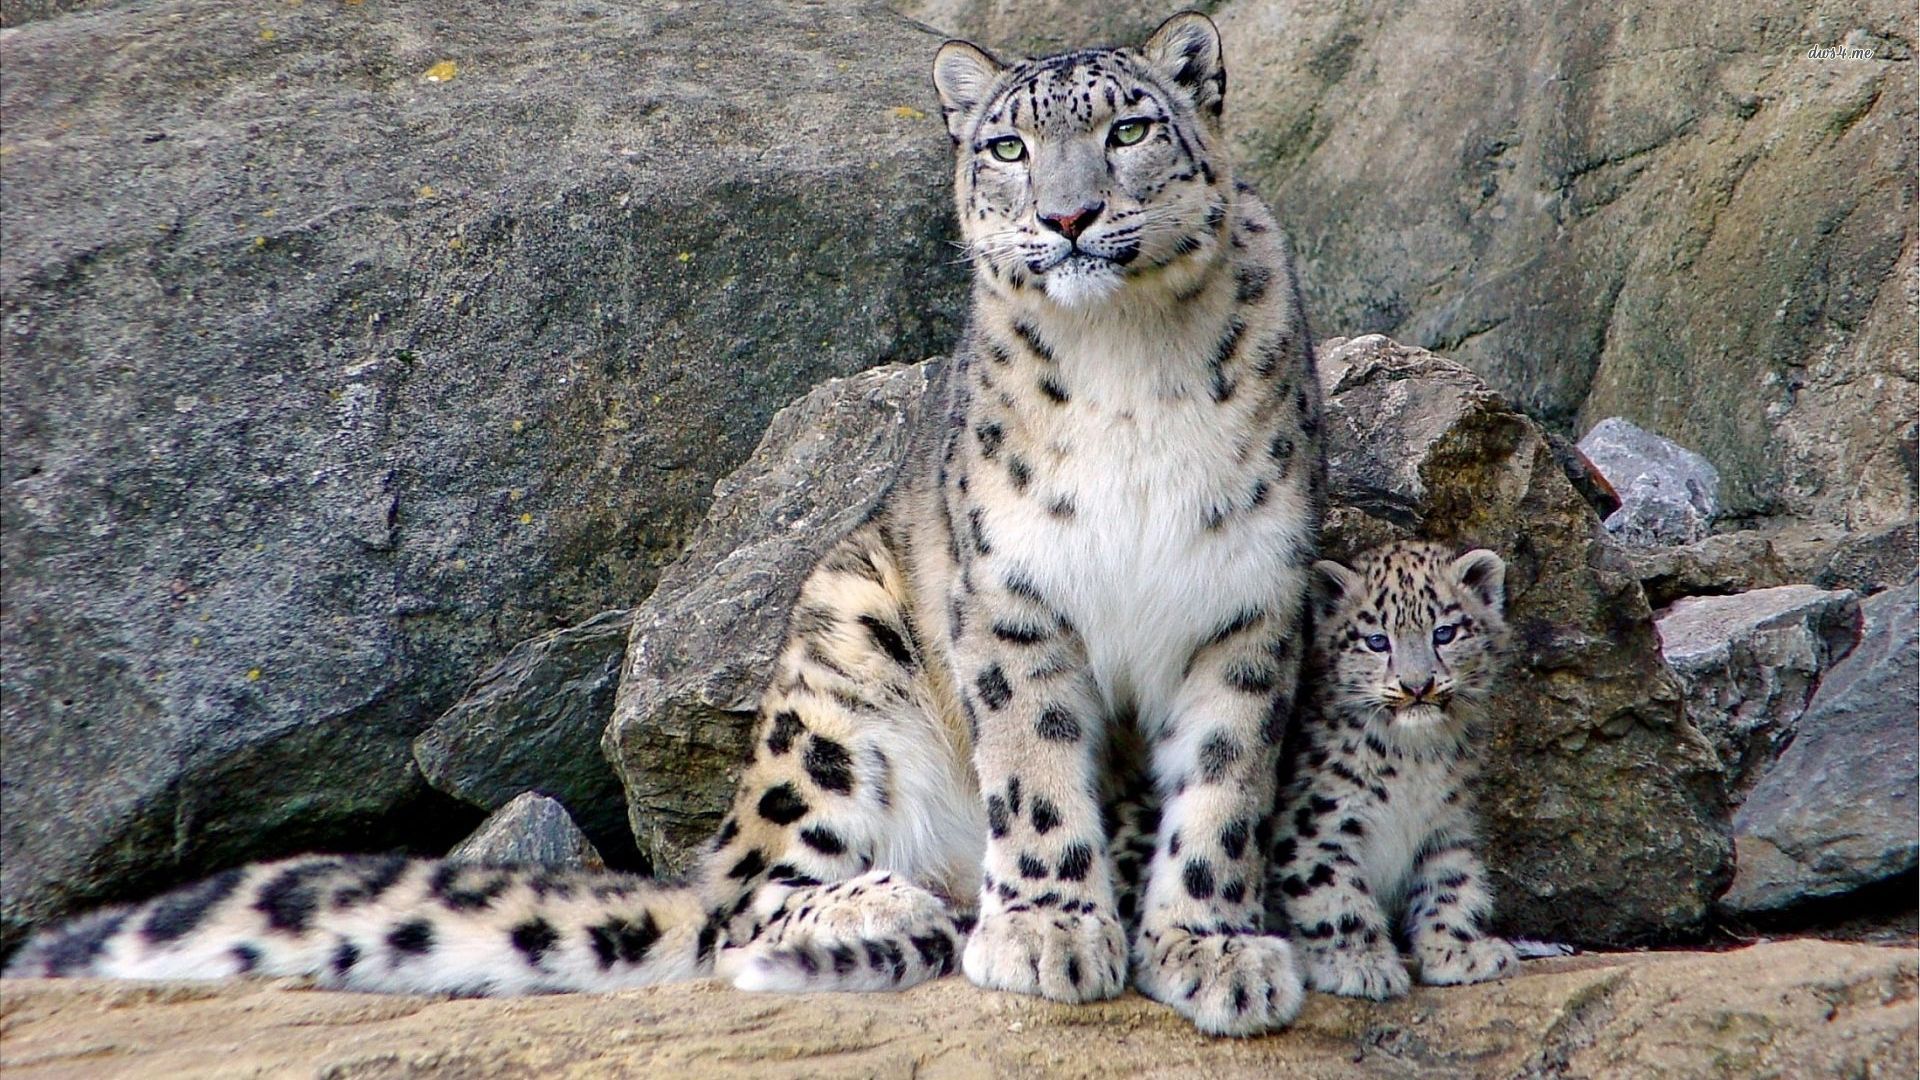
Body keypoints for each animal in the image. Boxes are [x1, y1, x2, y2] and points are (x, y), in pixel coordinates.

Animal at [15, 10, 1328, 1037]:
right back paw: (890, 904)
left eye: (1128, 131)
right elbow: (1038, 771)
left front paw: (1216, 950)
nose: (1068, 217)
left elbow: (1222, 787)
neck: (1130, 367)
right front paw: (1053, 932)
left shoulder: (1250, 597)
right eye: (1007, 146)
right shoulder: (1012, 600)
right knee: (742, 900)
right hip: (838, 659)